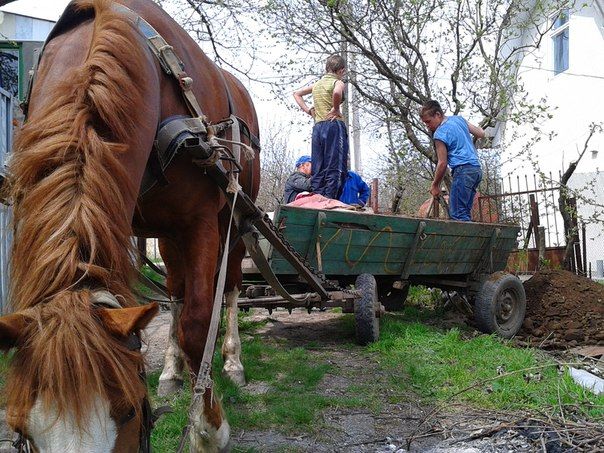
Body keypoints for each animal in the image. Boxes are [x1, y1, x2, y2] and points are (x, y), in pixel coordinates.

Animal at [0, 0, 258, 448]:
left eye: (130, 412)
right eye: (21, 429)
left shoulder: (201, 223)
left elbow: (197, 322)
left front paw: (209, 428)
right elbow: (179, 308)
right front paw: (177, 374)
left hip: (236, 221)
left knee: (228, 290)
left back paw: (230, 360)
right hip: (167, 235)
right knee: (175, 290)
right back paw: (173, 370)